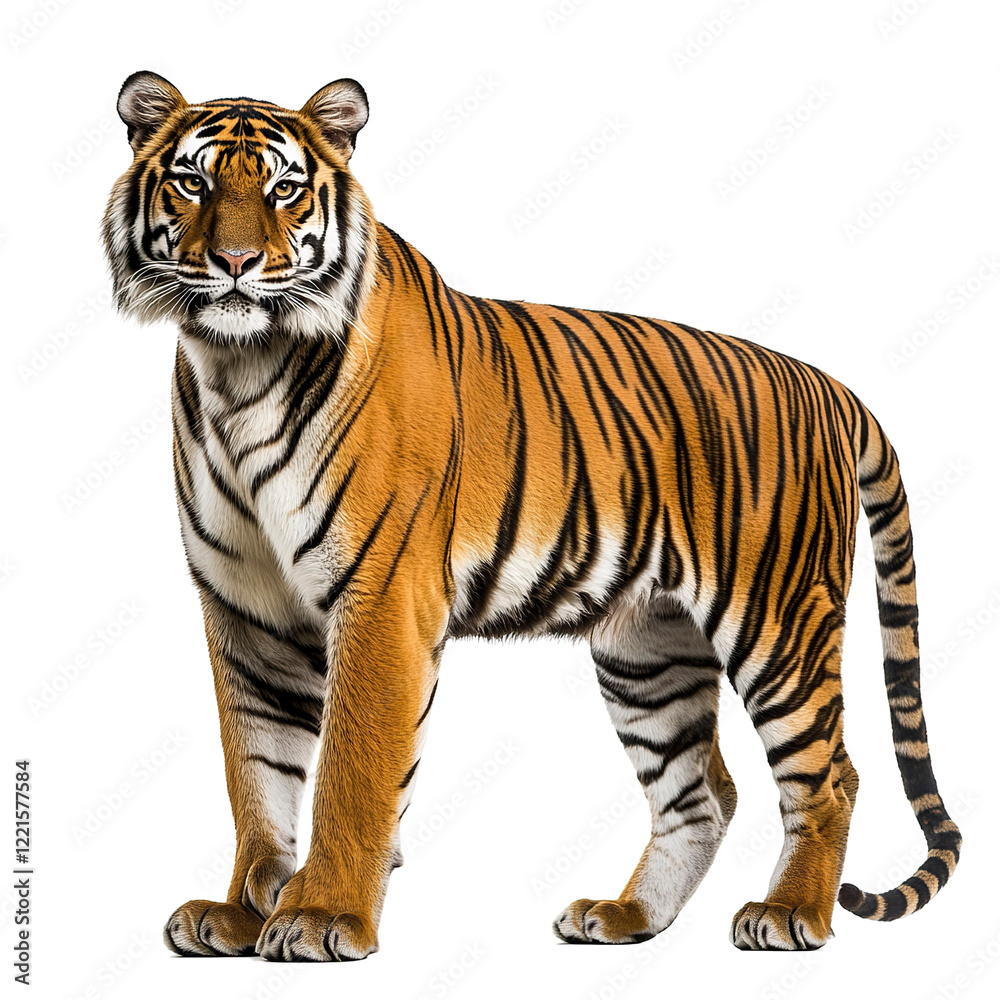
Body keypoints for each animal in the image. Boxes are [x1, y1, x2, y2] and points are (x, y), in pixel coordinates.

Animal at [103, 71, 961, 962]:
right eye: (193, 182)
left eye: (284, 189)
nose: (235, 264)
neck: (240, 367)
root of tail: (831, 387)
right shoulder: (247, 610)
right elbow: (256, 774)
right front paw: (242, 911)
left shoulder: (380, 598)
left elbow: (352, 769)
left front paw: (320, 915)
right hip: (647, 650)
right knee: (703, 791)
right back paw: (626, 916)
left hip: (778, 621)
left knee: (829, 775)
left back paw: (791, 914)